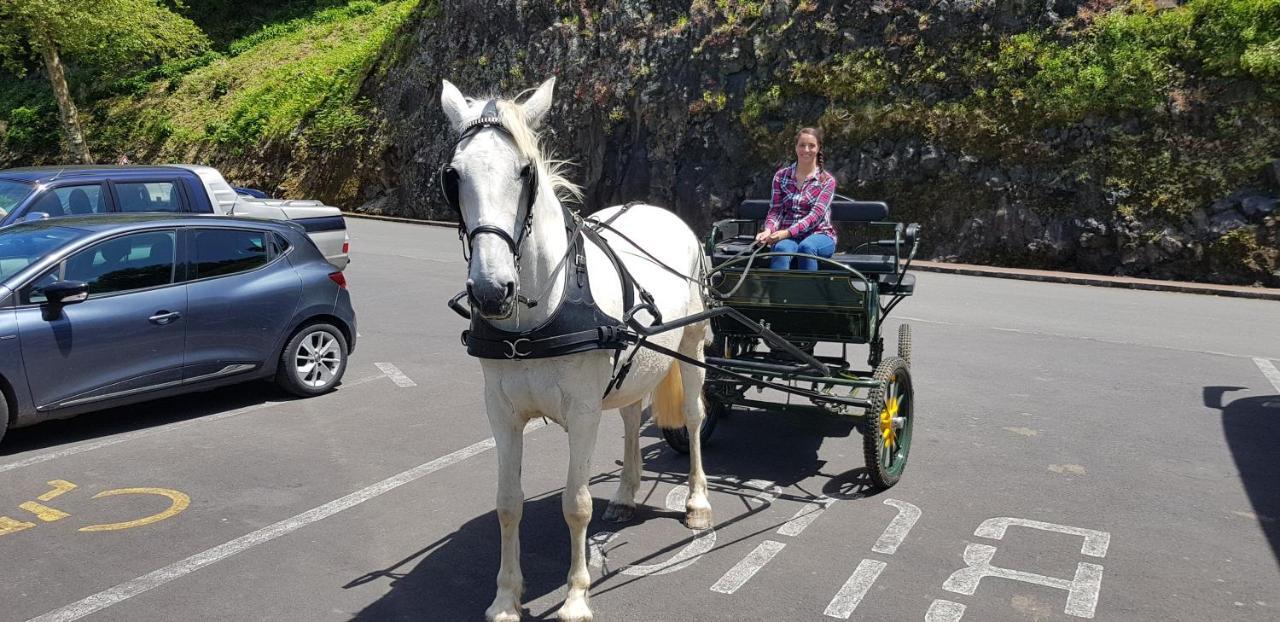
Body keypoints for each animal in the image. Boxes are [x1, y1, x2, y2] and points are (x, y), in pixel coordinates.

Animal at [442, 79, 716, 622]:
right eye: (453, 175)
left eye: (525, 171)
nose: (491, 291)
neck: (536, 317)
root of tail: (659, 211)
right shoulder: (501, 412)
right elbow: (508, 502)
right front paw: (506, 597)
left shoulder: (584, 412)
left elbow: (576, 504)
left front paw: (575, 597)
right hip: (636, 361)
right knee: (631, 417)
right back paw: (628, 493)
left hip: (692, 345)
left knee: (695, 417)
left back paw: (697, 502)